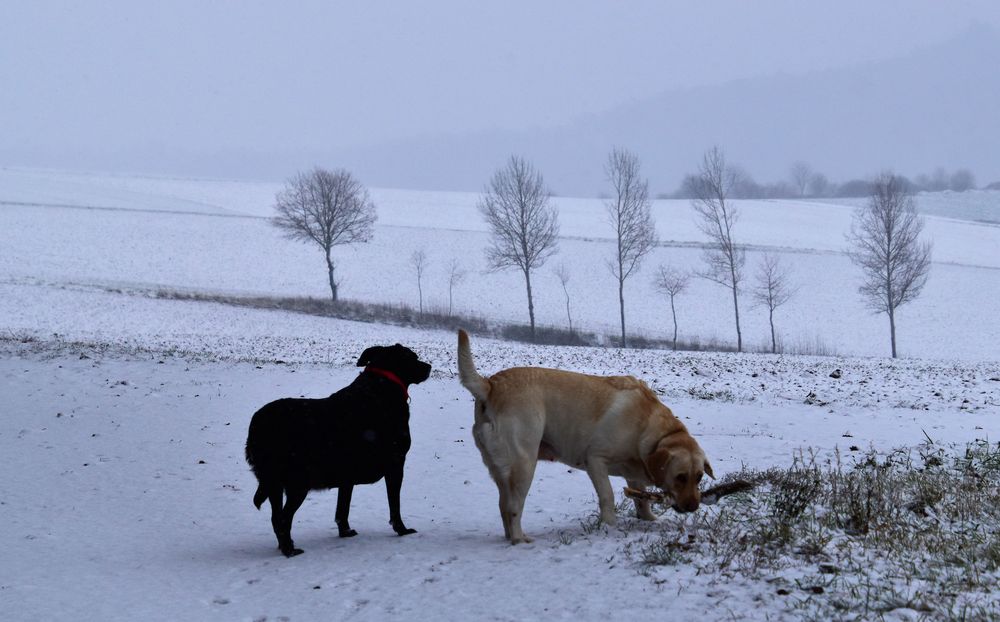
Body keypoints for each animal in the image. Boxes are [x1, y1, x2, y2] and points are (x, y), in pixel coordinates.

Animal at [245, 344, 430, 560]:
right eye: (412, 357)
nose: (429, 366)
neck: (383, 385)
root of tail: (257, 427)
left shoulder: (347, 476)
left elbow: (343, 507)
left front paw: (345, 532)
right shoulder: (396, 463)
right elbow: (394, 504)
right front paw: (402, 529)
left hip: (274, 484)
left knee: (276, 517)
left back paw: (285, 546)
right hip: (297, 482)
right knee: (283, 518)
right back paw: (289, 550)